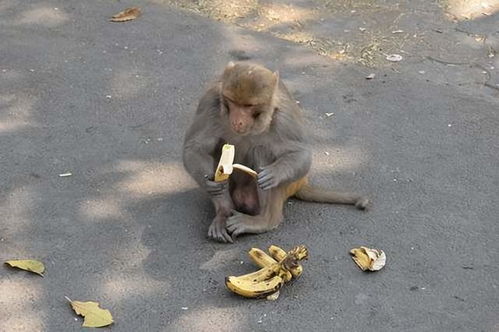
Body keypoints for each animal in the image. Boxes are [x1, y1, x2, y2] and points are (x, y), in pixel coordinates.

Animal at [182, 62, 370, 243]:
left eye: (248, 105)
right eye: (232, 101)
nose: (237, 121)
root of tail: (302, 183)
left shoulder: (284, 116)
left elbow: (301, 154)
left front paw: (275, 173)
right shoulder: (210, 101)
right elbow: (195, 147)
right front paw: (209, 181)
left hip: (289, 184)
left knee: (262, 152)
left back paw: (265, 221)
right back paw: (224, 213)